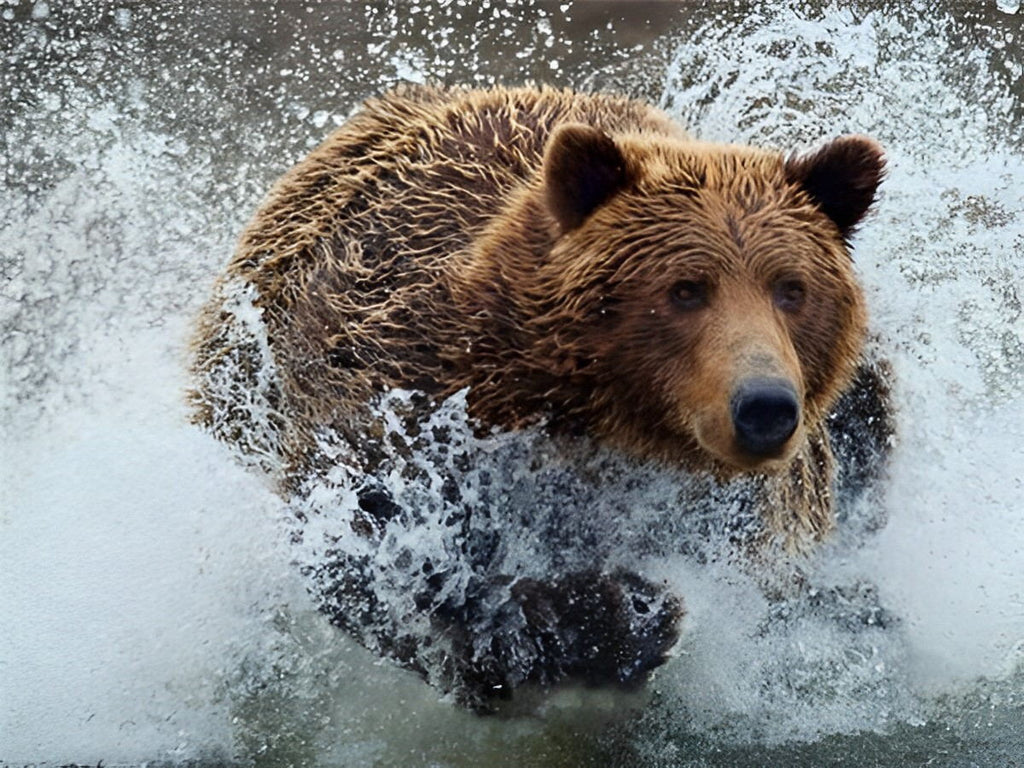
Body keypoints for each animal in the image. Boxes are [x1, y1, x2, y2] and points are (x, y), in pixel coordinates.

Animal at [190, 85, 888, 716]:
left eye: (791, 288)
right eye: (686, 288)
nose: (765, 406)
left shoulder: (741, 506)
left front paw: (620, 618)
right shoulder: (404, 386)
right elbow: (372, 536)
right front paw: (562, 625)